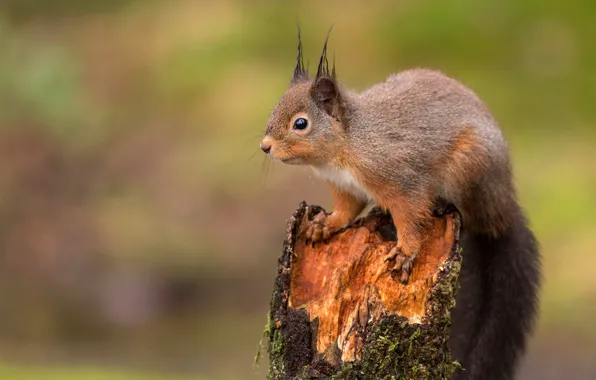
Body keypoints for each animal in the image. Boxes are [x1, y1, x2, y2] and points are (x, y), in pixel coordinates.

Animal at [260, 27, 540, 380]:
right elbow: (347, 211)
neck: (347, 145)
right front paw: (326, 225)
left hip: (469, 168)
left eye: (300, 124)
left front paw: (406, 252)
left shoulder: (402, 180)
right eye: (274, 110)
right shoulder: (346, 188)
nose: (265, 146)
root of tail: (502, 210)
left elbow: (411, 214)